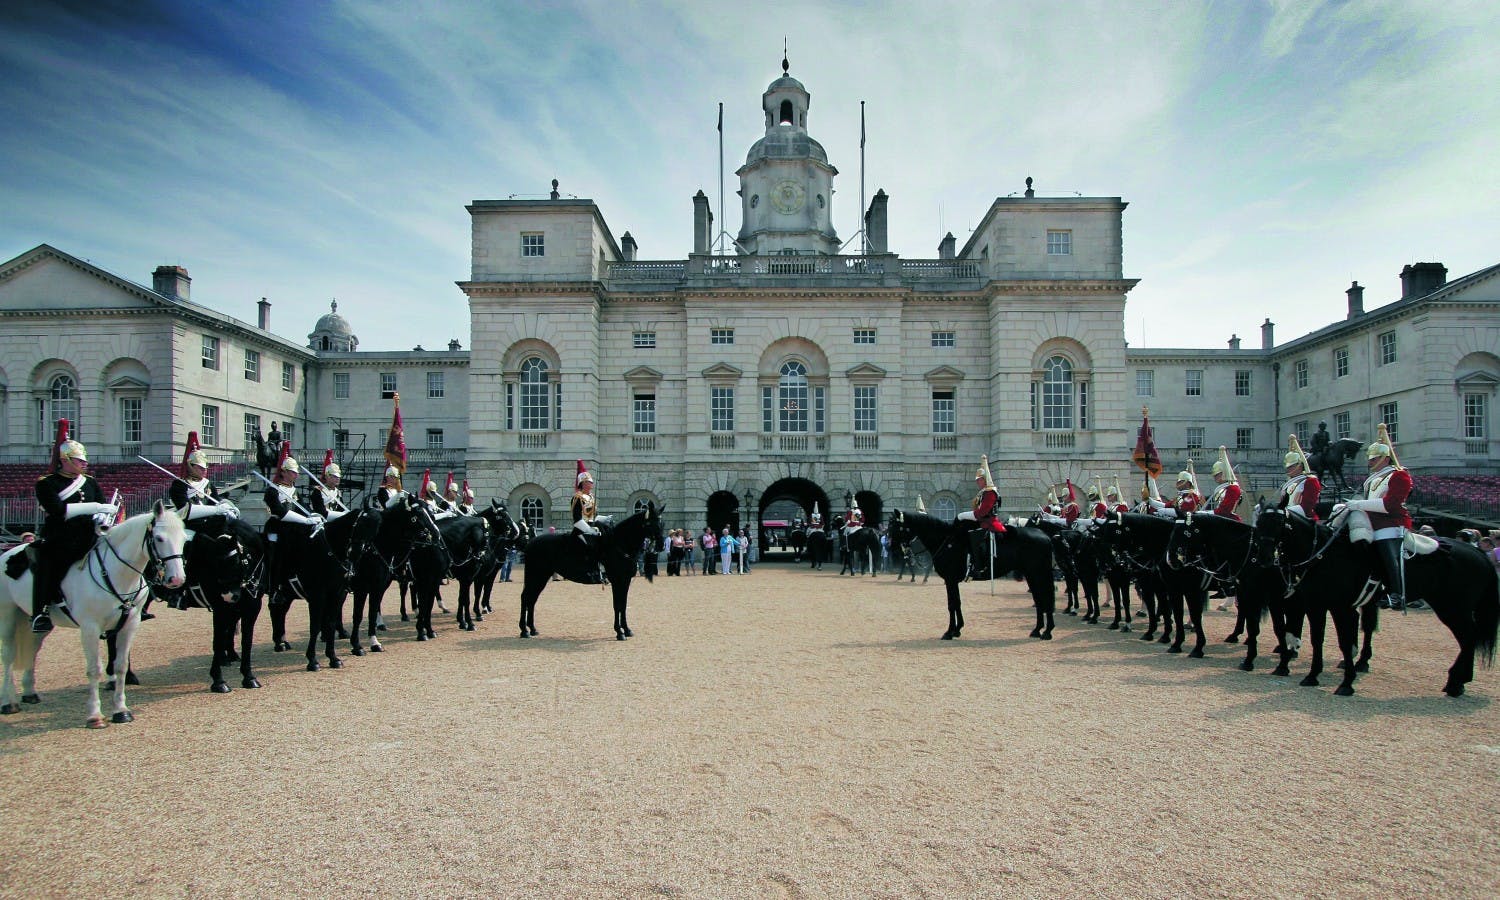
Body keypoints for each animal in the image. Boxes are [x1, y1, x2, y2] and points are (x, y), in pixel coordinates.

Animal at [0, 504, 187, 729]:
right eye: (159, 538)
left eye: (184, 538)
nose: (177, 579)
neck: (115, 573)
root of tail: (8, 553)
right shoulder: (90, 628)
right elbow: (94, 669)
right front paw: (95, 715)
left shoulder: (130, 624)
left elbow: (120, 666)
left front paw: (121, 711)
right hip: (8, 616)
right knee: (8, 655)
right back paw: (8, 702)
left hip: (37, 623)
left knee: (32, 650)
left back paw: (29, 692)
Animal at [519, 498, 666, 639]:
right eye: (650, 523)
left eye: (662, 523)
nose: (661, 545)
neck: (620, 544)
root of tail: (531, 542)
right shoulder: (617, 580)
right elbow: (617, 605)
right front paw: (619, 632)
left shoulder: (625, 581)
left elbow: (623, 605)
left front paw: (627, 629)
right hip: (536, 575)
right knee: (526, 597)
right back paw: (524, 631)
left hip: (541, 576)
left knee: (532, 599)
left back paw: (532, 629)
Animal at [888, 513, 1056, 639]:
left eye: (896, 527)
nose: (892, 551)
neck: (945, 541)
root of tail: (1045, 536)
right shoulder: (952, 581)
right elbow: (957, 602)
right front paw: (957, 629)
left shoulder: (950, 580)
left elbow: (952, 604)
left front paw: (949, 632)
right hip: (1032, 575)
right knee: (1039, 599)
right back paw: (1038, 630)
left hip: (1038, 574)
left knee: (1045, 597)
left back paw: (1047, 632)